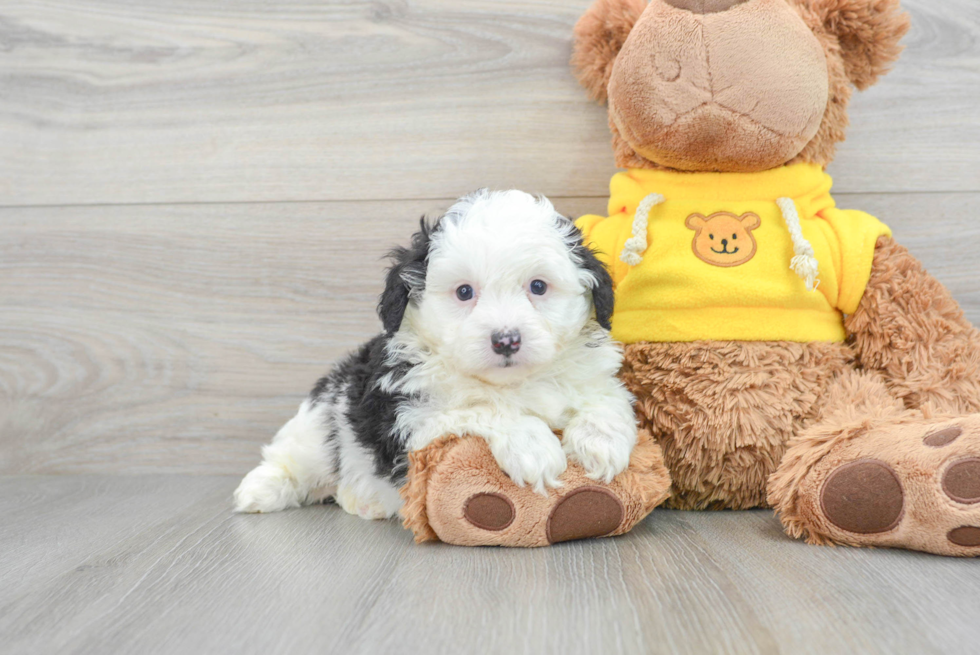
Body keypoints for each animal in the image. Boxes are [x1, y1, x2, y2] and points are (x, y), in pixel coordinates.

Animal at [234, 191, 640, 524]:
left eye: (538, 286)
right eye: (464, 292)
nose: (506, 340)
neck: (512, 383)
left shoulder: (593, 377)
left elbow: (607, 397)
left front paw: (601, 444)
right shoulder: (410, 417)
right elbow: (479, 408)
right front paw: (533, 446)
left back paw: (364, 501)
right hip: (322, 421)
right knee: (293, 458)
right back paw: (259, 491)